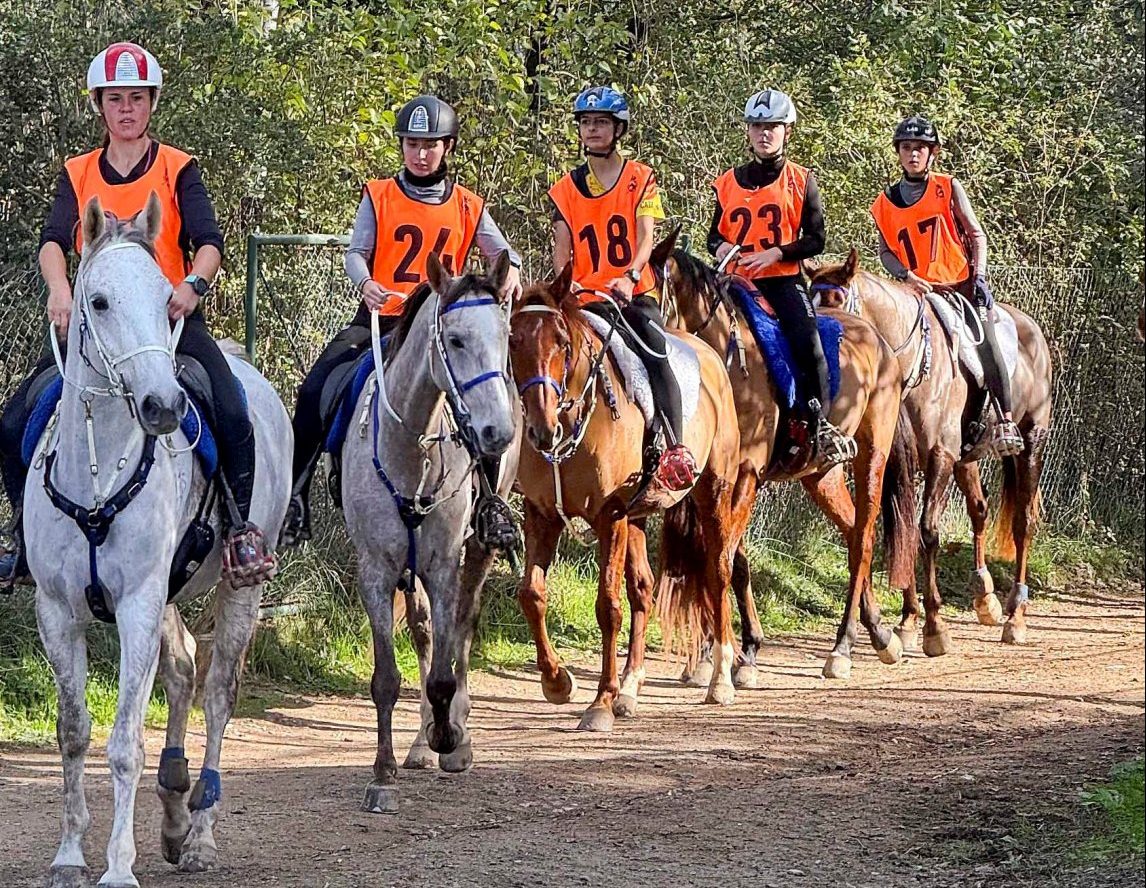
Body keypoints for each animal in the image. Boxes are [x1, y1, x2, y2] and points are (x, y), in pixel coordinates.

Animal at [24, 195, 291, 888]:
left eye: (165, 297)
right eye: (97, 302)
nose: (163, 406)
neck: (95, 481)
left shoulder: (137, 605)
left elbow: (124, 743)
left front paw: (118, 867)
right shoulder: (57, 611)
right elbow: (73, 731)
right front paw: (69, 855)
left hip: (238, 586)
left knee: (218, 693)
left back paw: (199, 837)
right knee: (182, 669)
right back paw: (173, 813)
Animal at [339, 248, 520, 811]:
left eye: (504, 335)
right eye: (455, 339)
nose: (496, 433)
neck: (413, 445)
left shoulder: (443, 564)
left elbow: (444, 670)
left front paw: (450, 737)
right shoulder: (376, 570)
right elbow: (386, 677)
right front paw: (384, 772)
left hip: (477, 549)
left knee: (461, 626)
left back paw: (454, 736)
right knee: (421, 630)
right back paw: (419, 742)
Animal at [506, 236, 738, 728]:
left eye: (561, 342)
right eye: (513, 340)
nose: (541, 428)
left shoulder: (608, 515)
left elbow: (607, 605)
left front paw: (600, 702)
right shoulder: (542, 513)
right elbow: (532, 594)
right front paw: (558, 682)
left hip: (714, 492)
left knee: (718, 571)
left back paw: (721, 678)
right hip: (637, 515)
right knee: (644, 588)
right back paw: (632, 686)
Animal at [664, 249, 912, 682]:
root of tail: (878, 340)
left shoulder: (746, 475)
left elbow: (723, 554)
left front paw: (731, 656)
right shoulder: (714, 481)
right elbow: (731, 558)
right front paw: (734, 652)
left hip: (872, 455)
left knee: (864, 539)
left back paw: (842, 647)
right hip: (821, 475)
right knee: (852, 535)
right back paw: (880, 633)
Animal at [811, 249, 1049, 646]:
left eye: (837, 302)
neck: (912, 367)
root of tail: (1032, 329)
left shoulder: (940, 456)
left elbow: (926, 533)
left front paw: (935, 624)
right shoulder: (901, 462)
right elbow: (903, 529)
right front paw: (908, 621)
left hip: (1030, 442)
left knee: (1023, 523)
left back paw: (1015, 615)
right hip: (965, 458)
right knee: (980, 509)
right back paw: (986, 597)